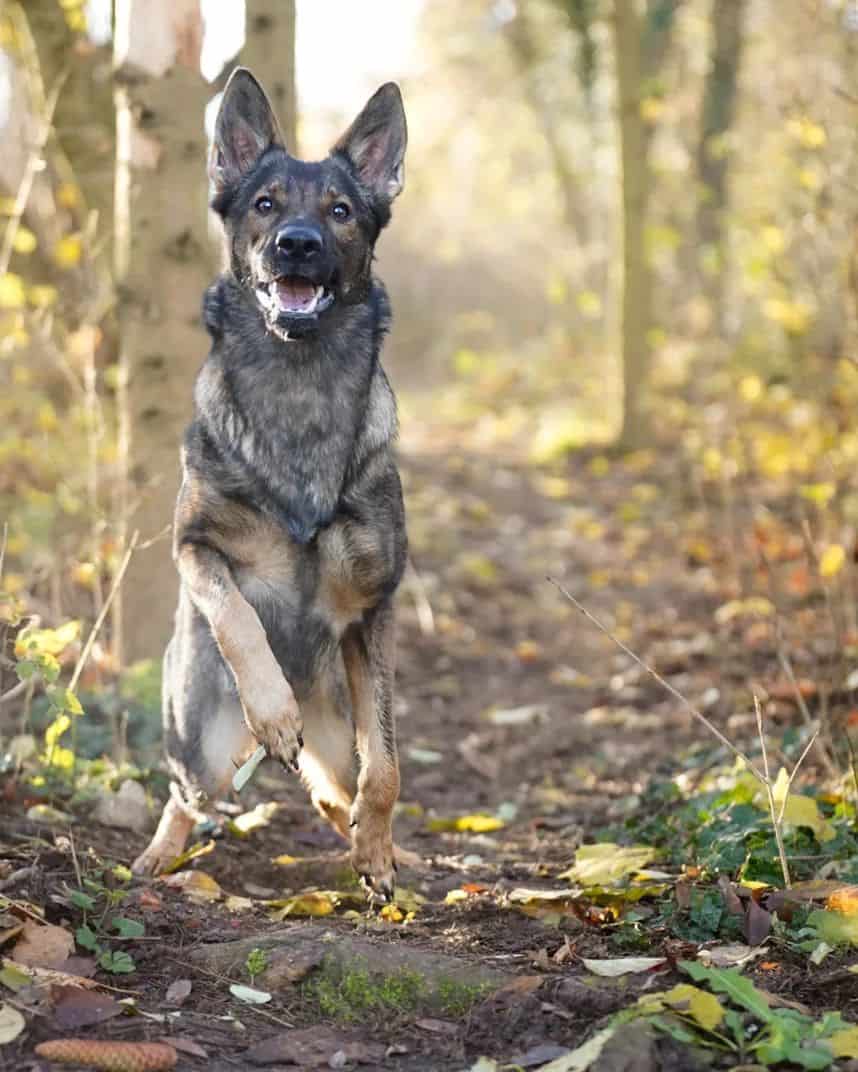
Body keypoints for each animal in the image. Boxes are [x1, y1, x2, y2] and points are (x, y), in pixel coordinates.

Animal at [132, 69, 411, 904]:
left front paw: (377, 852)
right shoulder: (194, 545)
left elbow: (386, 767)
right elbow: (236, 617)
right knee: (186, 795)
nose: (297, 244)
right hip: (199, 741)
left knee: (333, 786)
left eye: (341, 211)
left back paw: (363, 839)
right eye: (264, 202)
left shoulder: (373, 611)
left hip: (334, 733)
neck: (298, 387)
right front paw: (272, 706)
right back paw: (155, 861)